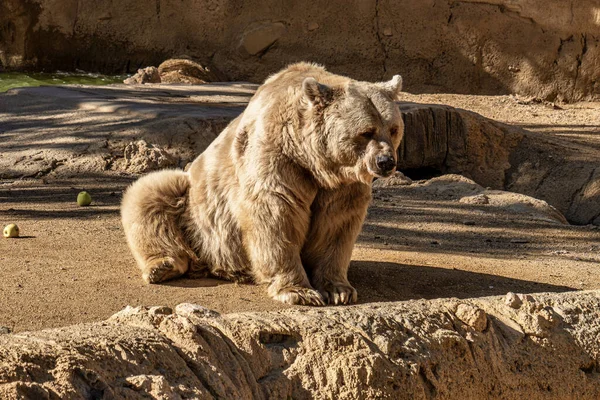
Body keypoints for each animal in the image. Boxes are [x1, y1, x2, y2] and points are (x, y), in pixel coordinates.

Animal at [121, 62, 404, 306]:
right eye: (366, 132)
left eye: (393, 129)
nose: (385, 162)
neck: (315, 161)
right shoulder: (278, 156)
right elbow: (276, 214)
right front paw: (299, 292)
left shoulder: (342, 183)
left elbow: (336, 224)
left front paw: (338, 290)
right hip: (194, 204)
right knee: (152, 192)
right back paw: (164, 265)